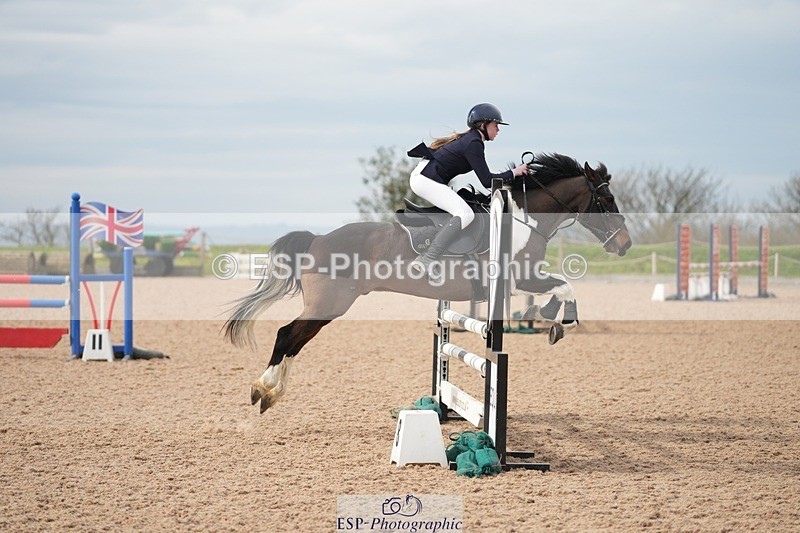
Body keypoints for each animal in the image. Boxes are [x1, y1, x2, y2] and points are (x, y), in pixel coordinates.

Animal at [224, 152, 632, 413]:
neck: (522, 219)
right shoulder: (520, 279)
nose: (625, 245)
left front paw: (552, 318)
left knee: (295, 340)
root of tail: (318, 239)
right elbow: (564, 287)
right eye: (607, 197)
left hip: (327, 307)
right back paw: (262, 389)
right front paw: (558, 321)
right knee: (287, 335)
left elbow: (562, 287)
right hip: (329, 305)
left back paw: (271, 394)